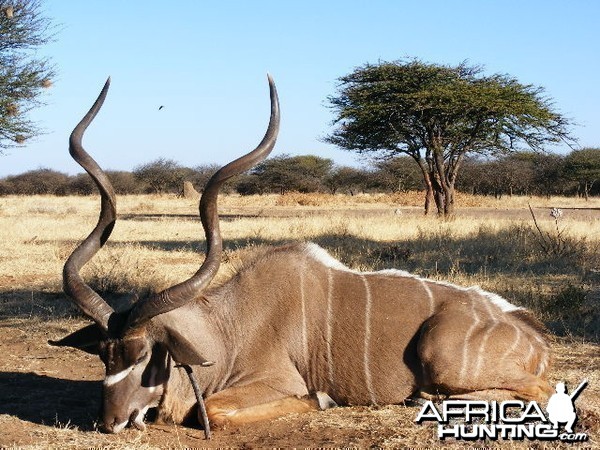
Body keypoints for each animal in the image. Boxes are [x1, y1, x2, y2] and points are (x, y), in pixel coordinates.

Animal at [50, 77, 552, 436]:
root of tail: (532, 334)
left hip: (441, 355)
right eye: (104, 354)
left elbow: (216, 410)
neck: (229, 328)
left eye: (141, 355)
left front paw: (320, 400)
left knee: (537, 389)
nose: (110, 422)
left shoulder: (274, 383)